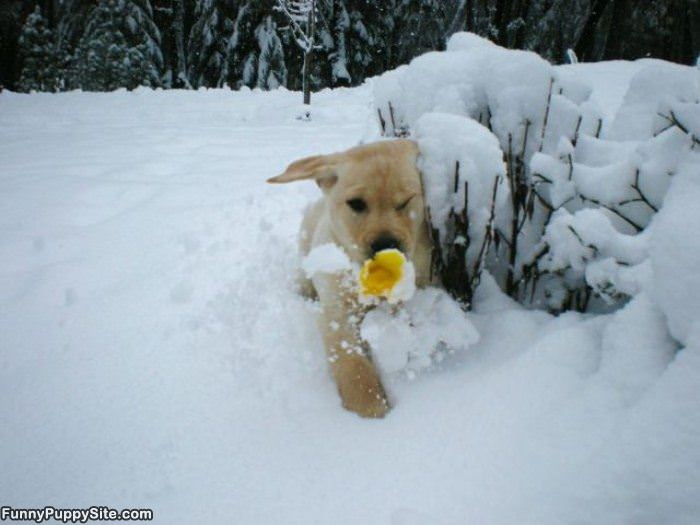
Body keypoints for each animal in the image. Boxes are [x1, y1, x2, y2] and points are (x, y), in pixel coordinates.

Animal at [268, 139, 432, 418]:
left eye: (405, 202)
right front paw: (370, 407)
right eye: (356, 203)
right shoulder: (336, 315)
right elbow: (351, 363)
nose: (386, 244)